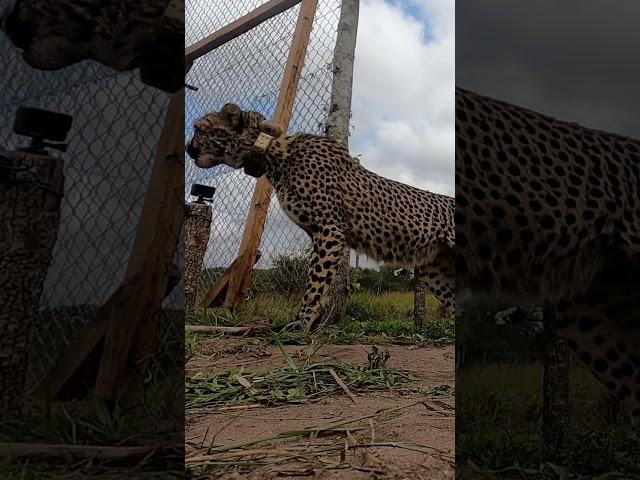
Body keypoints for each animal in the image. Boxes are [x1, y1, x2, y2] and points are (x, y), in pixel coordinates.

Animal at [185, 102, 456, 330]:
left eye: (199, 128)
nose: (188, 149)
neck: (272, 151)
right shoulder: (318, 232)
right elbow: (321, 281)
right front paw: (310, 322)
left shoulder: (330, 229)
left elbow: (315, 281)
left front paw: (301, 324)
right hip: (434, 271)